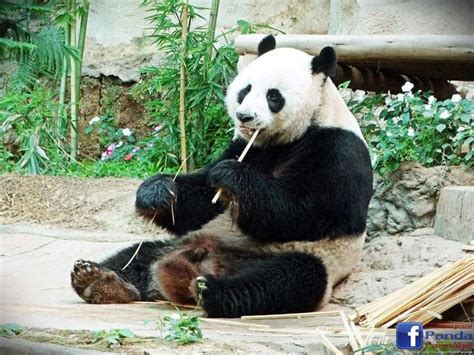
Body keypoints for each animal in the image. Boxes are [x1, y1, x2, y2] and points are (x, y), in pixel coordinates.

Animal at [70, 36, 374, 318]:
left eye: (273, 96)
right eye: (245, 89)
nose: (244, 116)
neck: (294, 134)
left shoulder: (337, 149)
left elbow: (307, 212)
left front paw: (231, 176)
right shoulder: (248, 147)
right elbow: (204, 201)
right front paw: (157, 191)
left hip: (306, 260)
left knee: (282, 280)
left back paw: (211, 291)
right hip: (178, 244)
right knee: (138, 255)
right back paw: (99, 280)